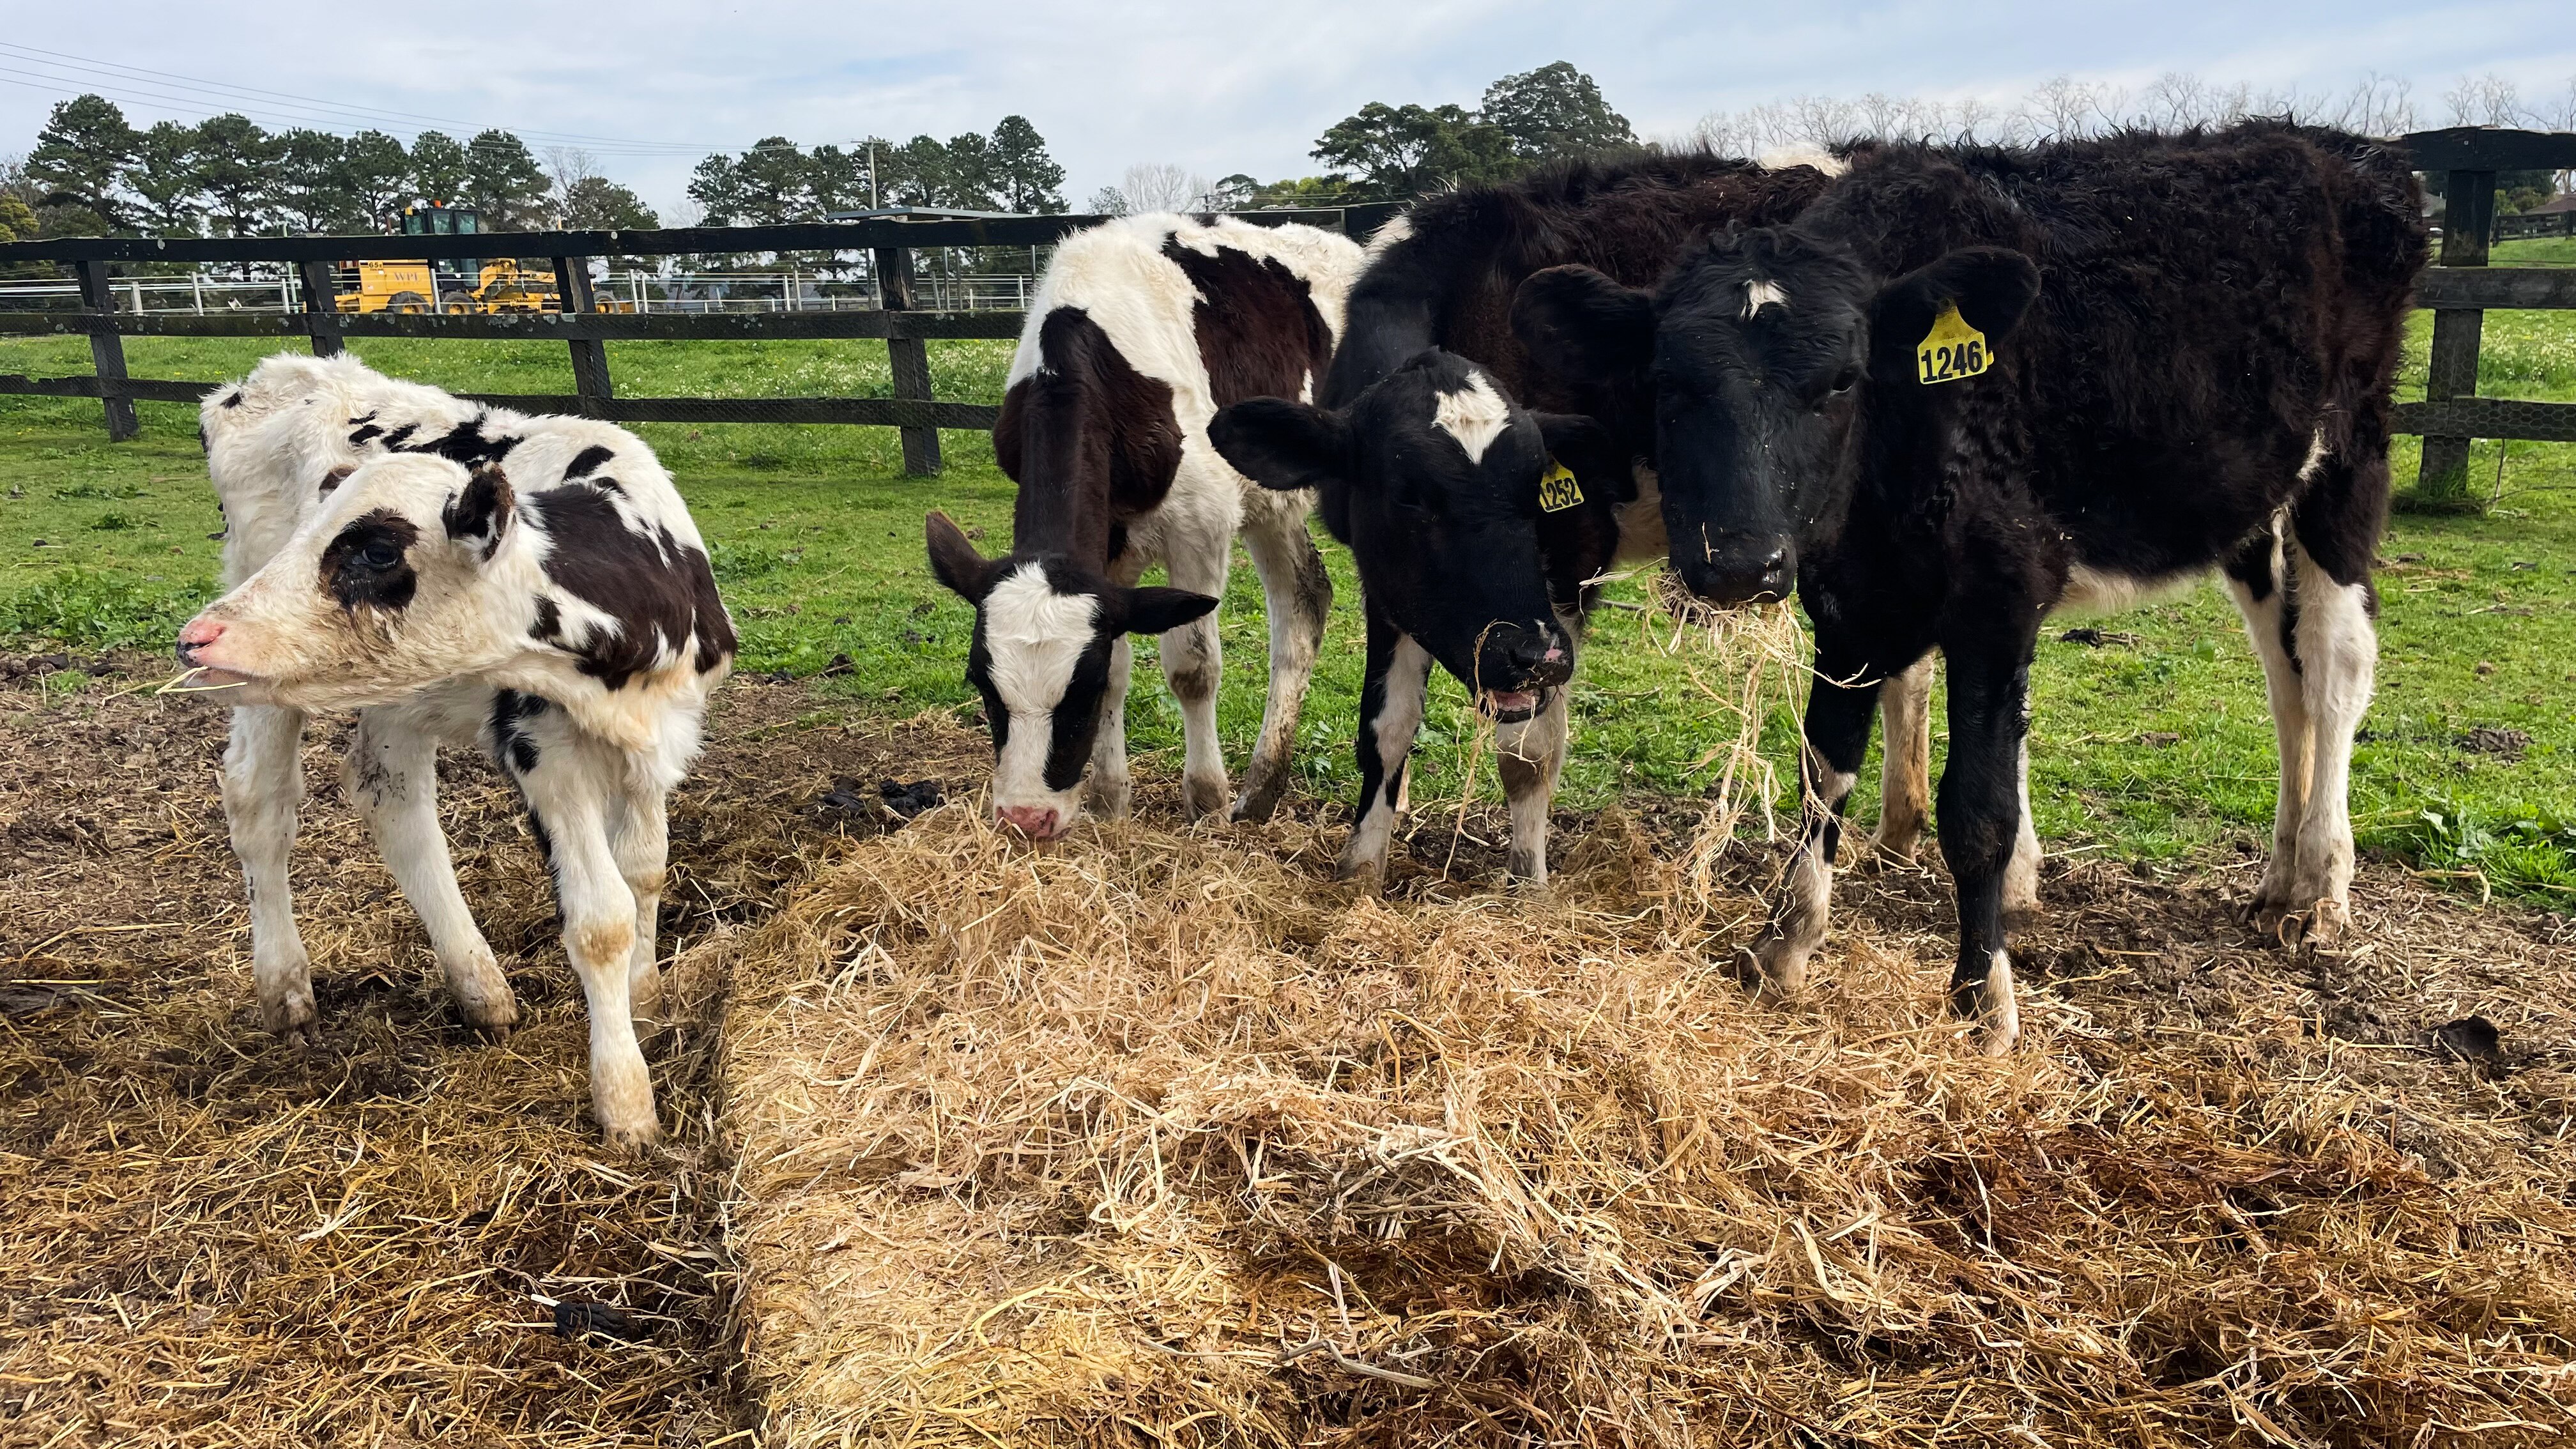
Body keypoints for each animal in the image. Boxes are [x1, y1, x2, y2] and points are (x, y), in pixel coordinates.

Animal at [181, 352, 735, 1147]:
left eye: (379, 550)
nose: (198, 635)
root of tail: (275, 374)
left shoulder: (659, 740)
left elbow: (645, 872)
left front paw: (647, 997)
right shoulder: (545, 750)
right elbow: (601, 918)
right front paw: (626, 1101)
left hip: (397, 692)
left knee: (389, 793)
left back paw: (479, 986)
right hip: (266, 679)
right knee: (259, 800)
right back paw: (285, 988)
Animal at [925, 213, 1365, 840]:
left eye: (1077, 697)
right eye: (983, 688)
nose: (1026, 818)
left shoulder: (1201, 524)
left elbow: (1193, 669)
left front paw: (1206, 801)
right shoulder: (1108, 550)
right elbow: (1121, 667)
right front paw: (1110, 802)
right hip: (1272, 503)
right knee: (1305, 599)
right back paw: (1261, 790)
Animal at [1207, 151, 1838, 886]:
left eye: (1536, 486)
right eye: (1408, 495)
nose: (1526, 653)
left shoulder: (1570, 558)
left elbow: (1529, 751)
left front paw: (1527, 883)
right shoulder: (1389, 577)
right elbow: (1386, 727)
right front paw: (1360, 870)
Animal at [1512, 123, 2427, 1051]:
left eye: (1842, 378)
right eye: (1668, 381)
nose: (1738, 561)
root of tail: (2343, 150)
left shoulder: (1999, 596)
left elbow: (1979, 810)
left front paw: (1983, 997)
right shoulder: (1848, 604)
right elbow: (1824, 768)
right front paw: (1784, 945)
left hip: (2347, 463)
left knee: (2337, 664)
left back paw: (2322, 891)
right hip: (2250, 511)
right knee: (2286, 678)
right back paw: (2279, 881)